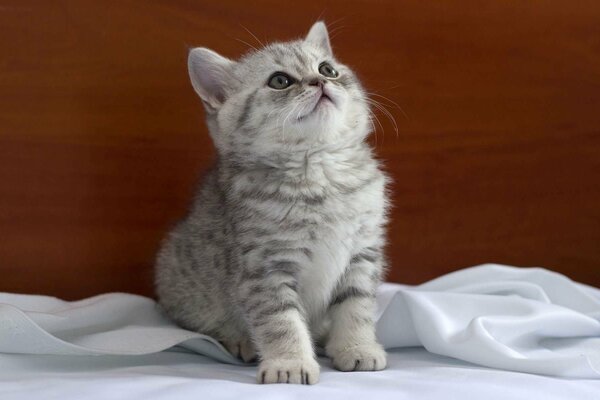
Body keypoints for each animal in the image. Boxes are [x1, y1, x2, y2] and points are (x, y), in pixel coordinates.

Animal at [155, 21, 390, 384]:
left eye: (327, 69)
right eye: (280, 81)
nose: (320, 82)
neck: (318, 172)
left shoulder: (362, 254)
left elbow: (357, 307)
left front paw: (357, 347)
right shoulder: (264, 267)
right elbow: (281, 320)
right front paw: (289, 363)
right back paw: (239, 340)